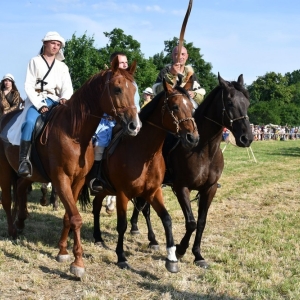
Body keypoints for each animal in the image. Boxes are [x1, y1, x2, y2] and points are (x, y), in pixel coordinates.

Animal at [0, 59, 142, 278]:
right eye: (117, 89)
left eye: (134, 89)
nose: (135, 126)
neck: (74, 134)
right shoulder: (61, 179)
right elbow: (75, 218)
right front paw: (77, 263)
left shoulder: (78, 180)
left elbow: (68, 216)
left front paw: (62, 251)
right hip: (5, 170)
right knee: (7, 200)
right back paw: (13, 231)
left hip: (28, 174)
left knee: (22, 188)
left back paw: (21, 221)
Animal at [85, 76, 200, 274]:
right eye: (175, 107)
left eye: (192, 108)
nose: (193, 138)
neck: (144, 154)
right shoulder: (123, 194)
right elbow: (122, 225)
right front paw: (121, 257)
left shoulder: (153, 192)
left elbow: (166, 219)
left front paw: (171, 258)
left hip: (105, 190)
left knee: (96, 206)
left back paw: (98, 237)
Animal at [129, 74, 253, 268]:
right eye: (230, 102)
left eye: (247, 102)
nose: (247, 138)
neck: (203, 149)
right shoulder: (182, 188)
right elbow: (191, 222)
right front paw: (180, 250)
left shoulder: (210, 189)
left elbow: (201, 222)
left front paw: (198, 255)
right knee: (145, 208)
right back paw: (150, 238)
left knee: (142, 206)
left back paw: (138, 229)